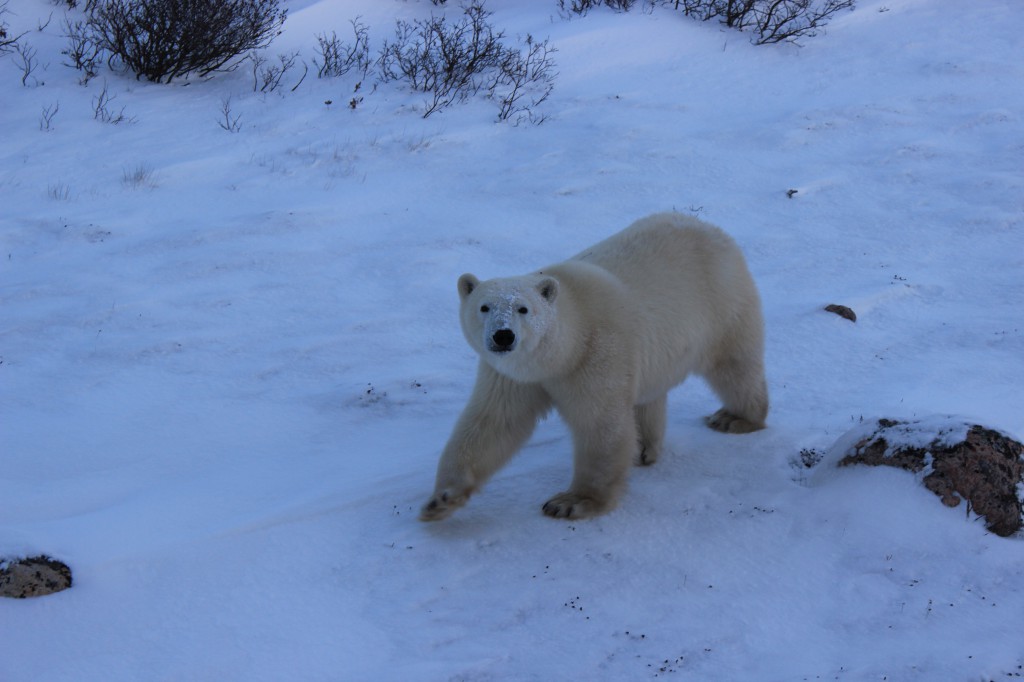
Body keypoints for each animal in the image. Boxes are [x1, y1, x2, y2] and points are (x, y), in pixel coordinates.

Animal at [419, 212, 765, 520]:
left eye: (523, 309)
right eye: (484, 307)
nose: (503, 335)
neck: (564, 348)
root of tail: (710, 228)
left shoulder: (596, 353)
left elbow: (600, 424)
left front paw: (571, 502)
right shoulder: (512, 375)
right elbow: (493, 422)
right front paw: (441, 500)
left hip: (722, 304)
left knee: (735, 366)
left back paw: (735, 418)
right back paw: (644, 448)